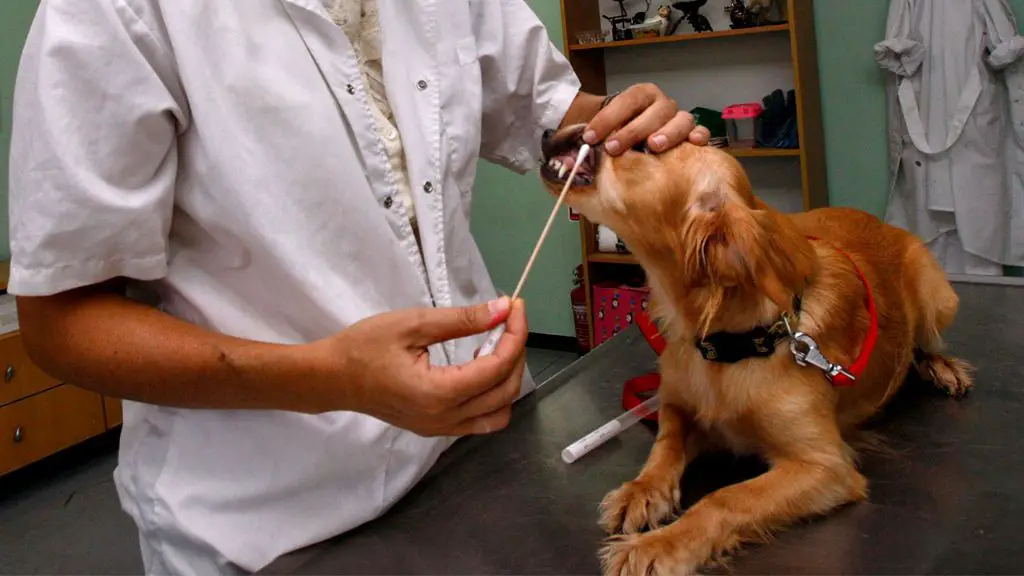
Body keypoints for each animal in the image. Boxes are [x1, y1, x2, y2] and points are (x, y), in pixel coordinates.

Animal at [540, 123, 970, 569]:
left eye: (641, 144)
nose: (552, 131)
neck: (729, 346)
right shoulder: (676, 403)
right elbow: (665, 443)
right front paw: (642, 490)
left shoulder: (825, 465)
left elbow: (727, 499)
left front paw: (659, 546)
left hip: (936, 294)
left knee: (922, 343)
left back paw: (942, 367)